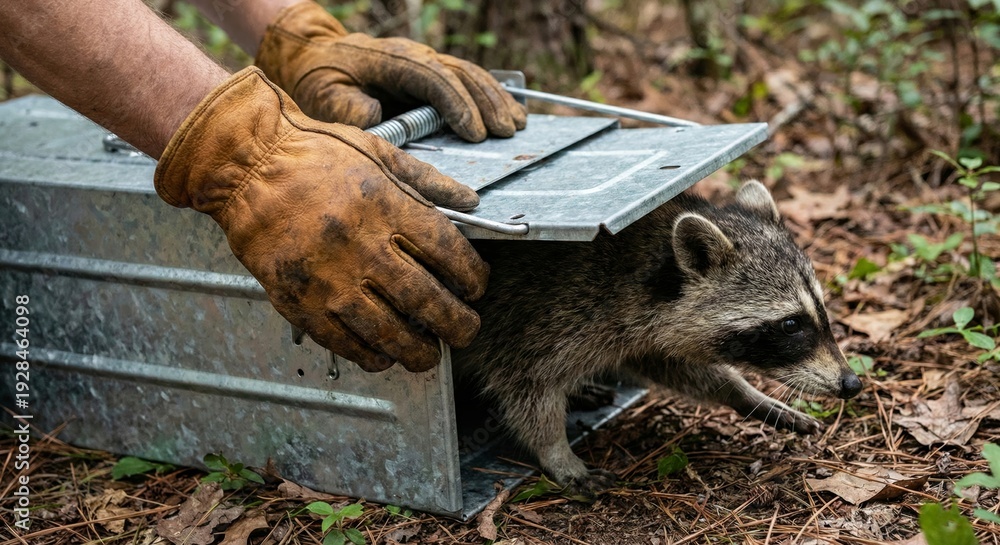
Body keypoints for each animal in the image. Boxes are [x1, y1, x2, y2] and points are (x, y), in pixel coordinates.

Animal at [453, 180, 862, 493]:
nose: (852, 383)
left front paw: (746, 394)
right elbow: (525, 385)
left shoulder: (634, 329)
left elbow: (672, 364)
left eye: (822, 310)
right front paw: (555, 450)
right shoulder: (538, 315)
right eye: (791, 325)